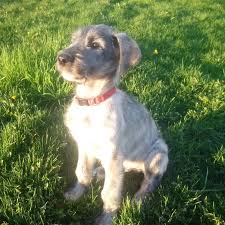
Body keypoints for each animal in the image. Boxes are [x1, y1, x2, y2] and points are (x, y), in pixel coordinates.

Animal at [56, 24, 169, 225]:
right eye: (73, 40)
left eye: (95, 45)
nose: (60, 58)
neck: (91, 101)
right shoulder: (84, 145)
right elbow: (82, 172)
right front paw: (76, 193)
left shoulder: (113, 154)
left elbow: (110, 192)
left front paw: (107, 217)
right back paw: (100, 172)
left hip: (159, 154)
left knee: (150, 182)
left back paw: (138, 200)